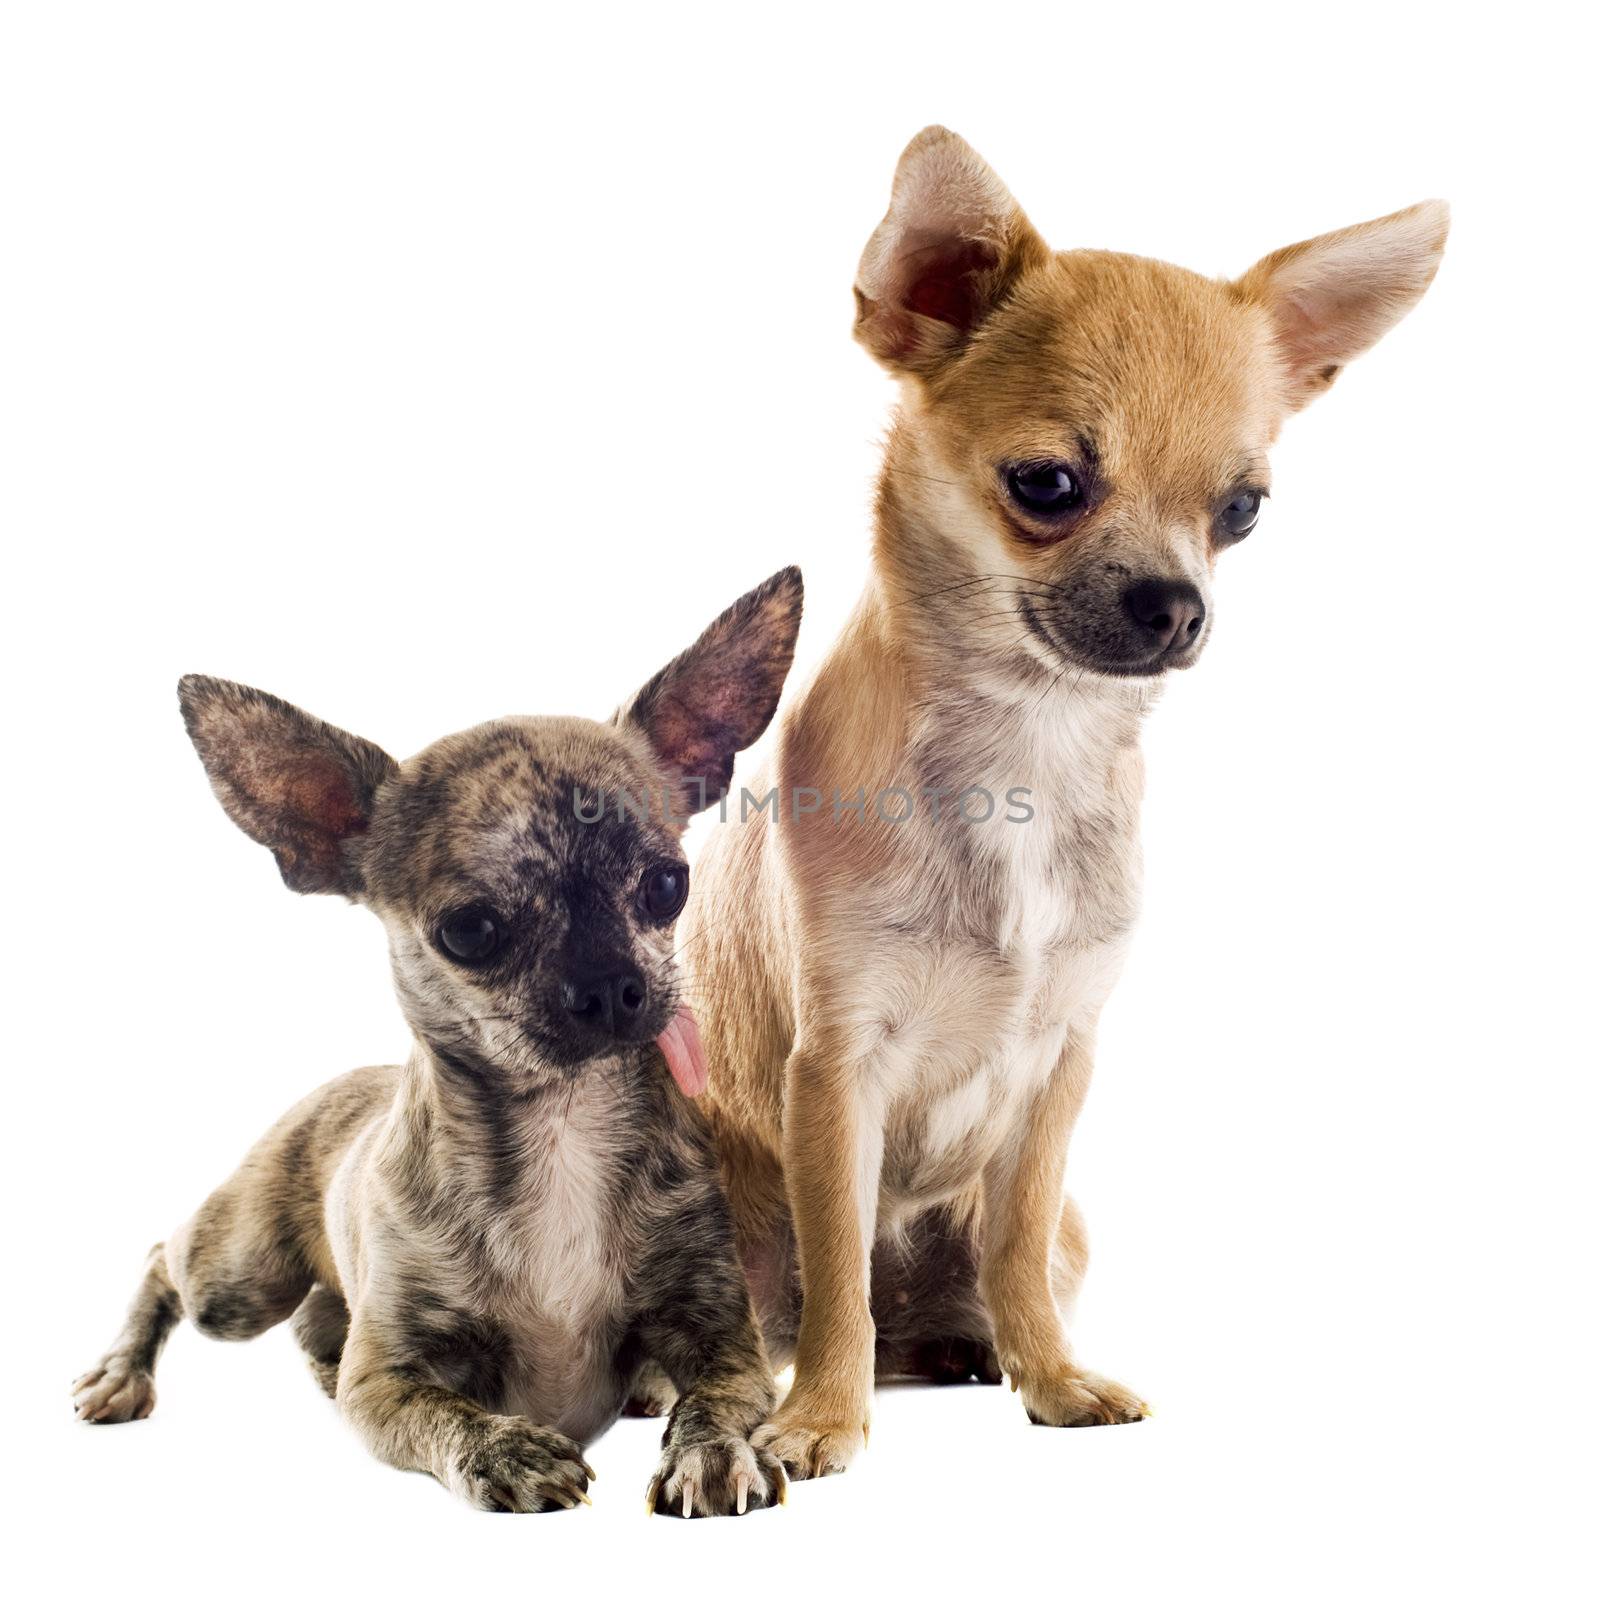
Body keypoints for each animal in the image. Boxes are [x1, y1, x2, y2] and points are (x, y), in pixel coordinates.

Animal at [73, 569, 800, 1516]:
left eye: (668, 885)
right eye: (471, 930)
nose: (611, 986)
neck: (562, 1126)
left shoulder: (726, 1337)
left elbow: (716, 1396)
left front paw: (710, 1451)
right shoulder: (385, 1382)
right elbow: (441, 1415)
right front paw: (506, 1450)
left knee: (308, 1323)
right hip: (239, 1278)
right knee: (167, 1259)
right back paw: (122, 1372)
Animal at [681, 124, 1459, 1472]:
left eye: (1241, 510)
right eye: (1047, 485)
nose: (1179, 607)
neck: (1028, 749)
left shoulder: (1060, 1066)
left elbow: (1017, 1235)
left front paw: (1050, 1377)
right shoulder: (833, 1072)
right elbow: (837, 1274)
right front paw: (825, 1417)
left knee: (973, 1276)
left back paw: (962, 1344)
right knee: (805, 1298)